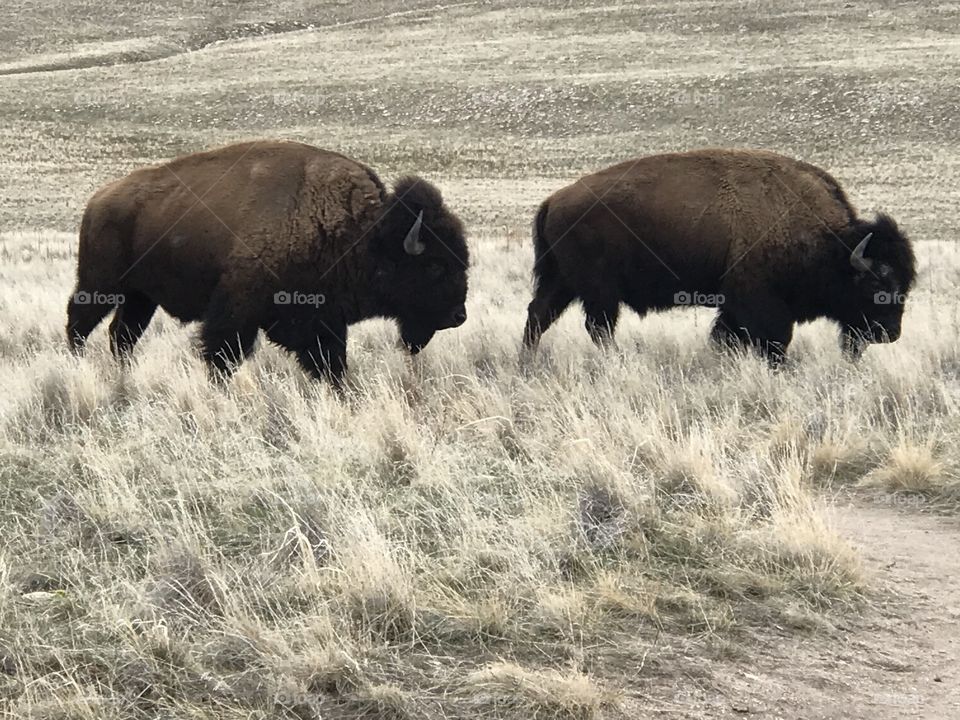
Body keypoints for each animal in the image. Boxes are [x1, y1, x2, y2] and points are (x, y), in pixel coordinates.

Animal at [67, 140, 469, 387]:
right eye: (435, 266)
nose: (458, 316)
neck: (362, 233)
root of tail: (98, 200)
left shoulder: (322, 320)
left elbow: (331, 363)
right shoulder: (236, 309)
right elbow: (223, 354)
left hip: (141, 296)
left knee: (122, 335)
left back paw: (124, 373)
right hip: (100, 285)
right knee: (79, 322)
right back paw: (75, 364)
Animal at [523, 148, 916, 362]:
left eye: (907, 284)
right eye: (875, 284)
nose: (890, 333)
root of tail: (553, 200)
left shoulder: (733, 305)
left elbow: (724, 337)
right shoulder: (757, 300)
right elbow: (774, 341)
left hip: (562, 281)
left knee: (539, 315)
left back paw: (527, 363)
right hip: (597, 289)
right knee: (598, 327)